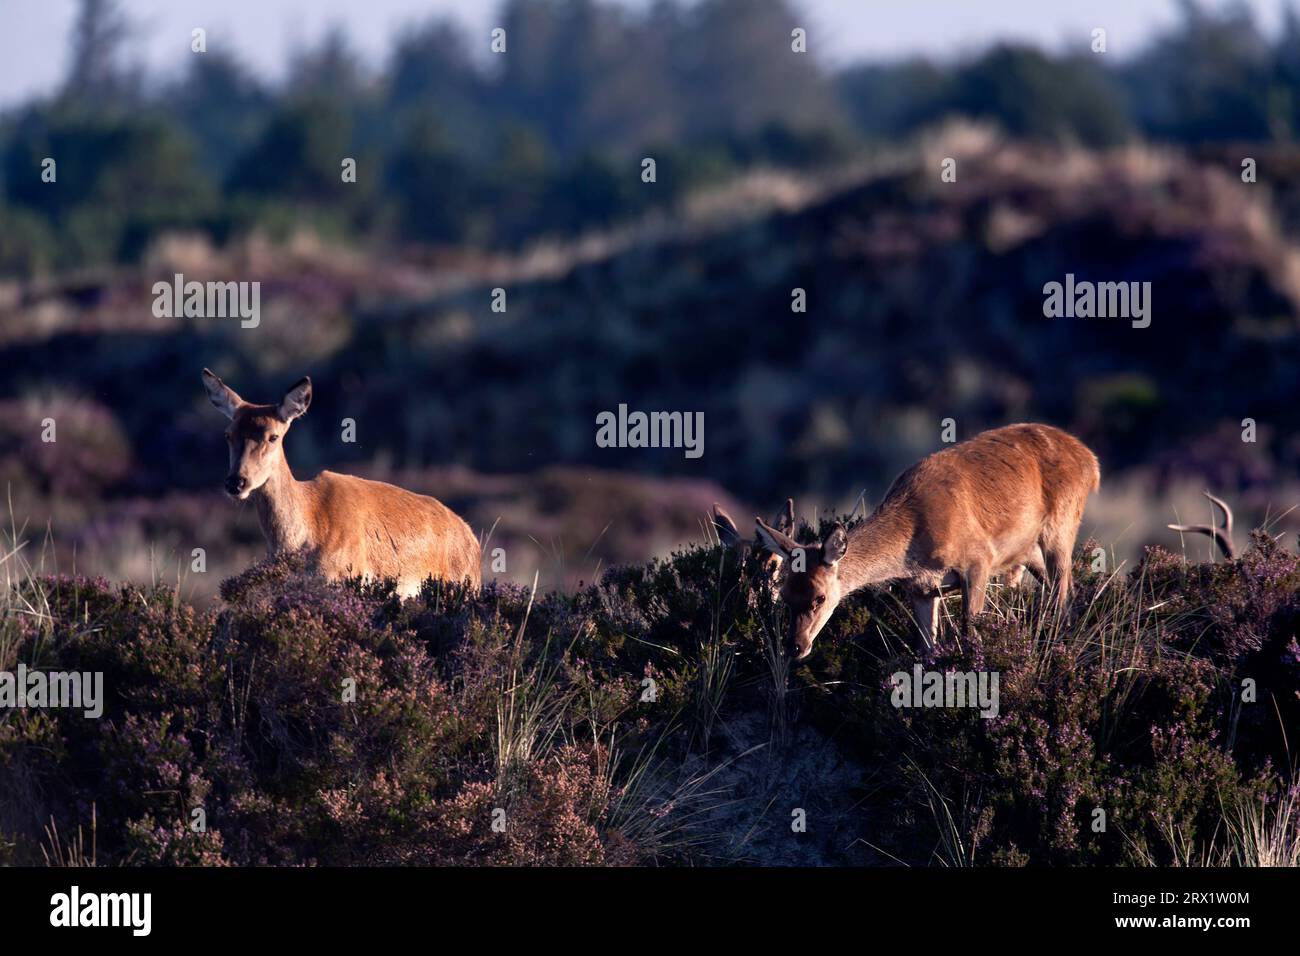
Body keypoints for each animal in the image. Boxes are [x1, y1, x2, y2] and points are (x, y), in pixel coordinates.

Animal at [759, 424, 1102, 658]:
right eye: (784, 595)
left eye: (819, 597)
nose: (795, 646)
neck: (912, 550)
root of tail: (1091, 460)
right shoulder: (921, 589)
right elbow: (926, 649)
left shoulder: (978, 559)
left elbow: (970, 635)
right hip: (1028, 550)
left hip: (1063, 523)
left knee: (1064, 595)